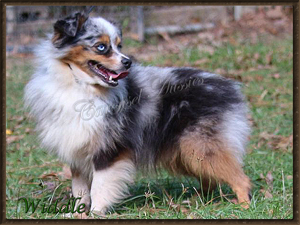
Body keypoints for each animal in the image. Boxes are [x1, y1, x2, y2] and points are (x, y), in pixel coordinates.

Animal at [24, 11, 252, 214]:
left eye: (119, 45)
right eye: (101, 47)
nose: (128, 62)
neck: (81, 85)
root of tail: (228, 86)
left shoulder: (108, 149)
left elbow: (99, 188)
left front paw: (96, 213)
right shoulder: (77, 149)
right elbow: (80, 190)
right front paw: (78, 213)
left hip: (200, 146)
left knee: (239, 178)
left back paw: (243, 207)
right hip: (186, 152)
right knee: (209, 178)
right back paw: (200, 202)